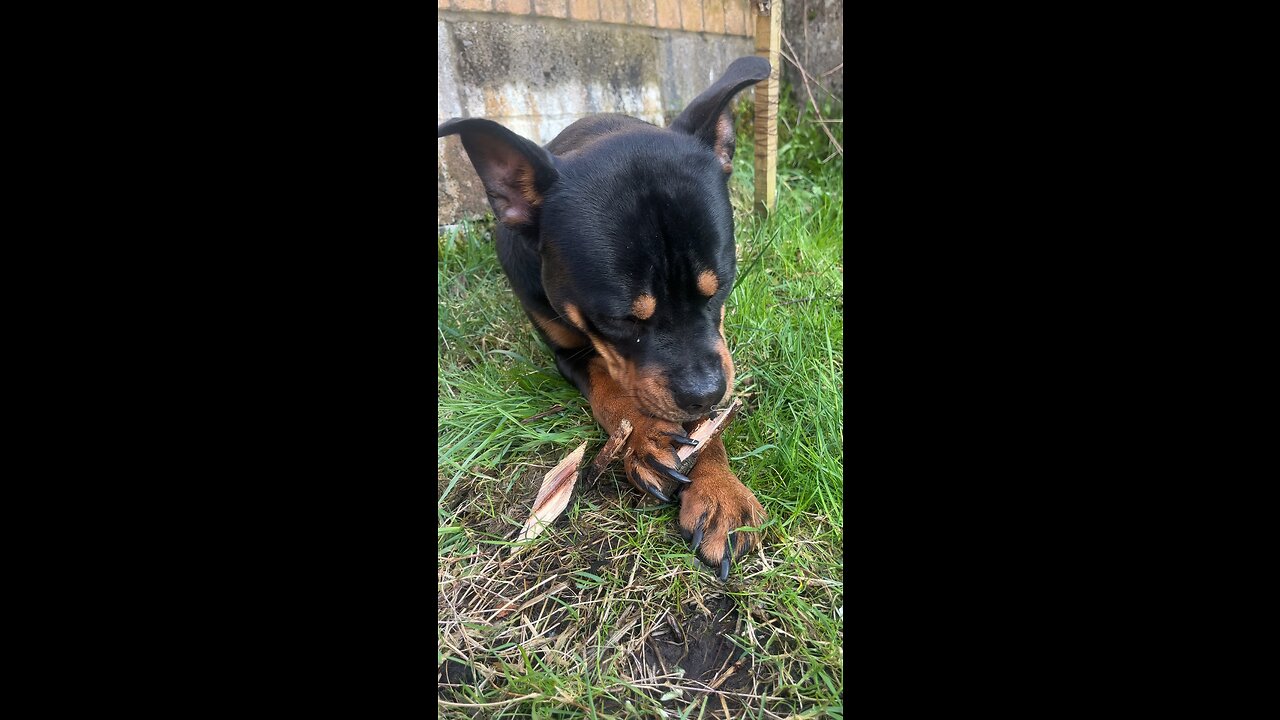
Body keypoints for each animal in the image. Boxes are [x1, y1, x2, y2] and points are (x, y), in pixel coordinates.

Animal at [440, 58, 768, 579]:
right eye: (618, 320)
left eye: (721, 287)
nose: (706, 392)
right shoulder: (568, 351)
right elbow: (609, 381)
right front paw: (649, 436)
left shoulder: (711, 352)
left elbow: (704, 425)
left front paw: (719, 489)